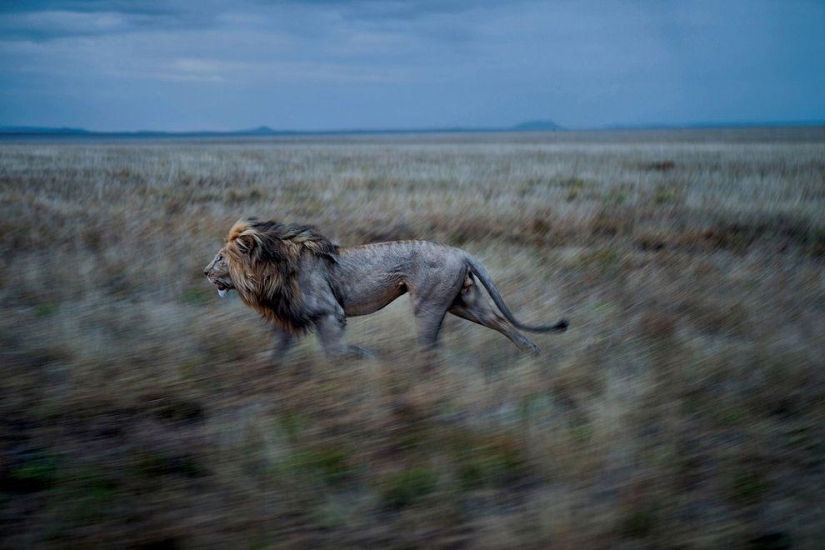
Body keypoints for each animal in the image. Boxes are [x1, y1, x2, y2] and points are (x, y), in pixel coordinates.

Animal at [204, 218, 568, 358]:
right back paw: (532, 353)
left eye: (220, 257)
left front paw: (366, 358)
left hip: (429, 304)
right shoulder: (290, 318)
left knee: (430, 347)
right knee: (501, 322)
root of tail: (459, 251)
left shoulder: (330, 313)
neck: (268, 270)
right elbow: (276, 353)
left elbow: (335, 352)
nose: (205, 272)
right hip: (464, 302)